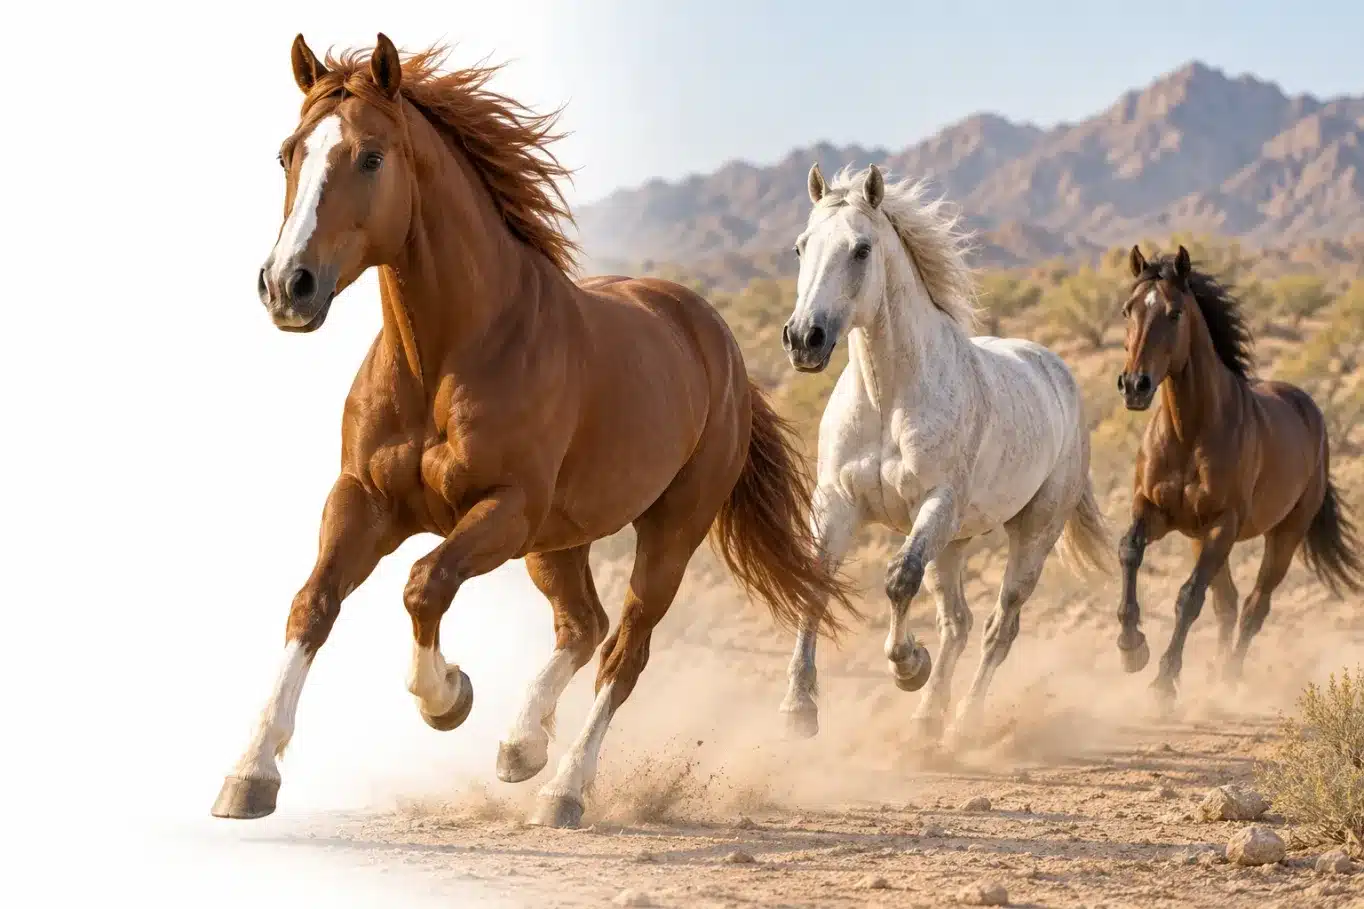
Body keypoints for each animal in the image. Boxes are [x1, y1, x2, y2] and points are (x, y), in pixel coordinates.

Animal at [211, 34, 856, 829]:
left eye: (370, 157)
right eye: (287, 154)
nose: (287, 286)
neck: (449, 356)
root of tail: (715, 338)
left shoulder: (504, 510)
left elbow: (424, 585)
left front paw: (447, 696)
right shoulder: (362, 499)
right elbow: (313, 603)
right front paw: (250, 773)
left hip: (667, 532)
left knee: (622, 650)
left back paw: (563, 787)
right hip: (561, 538)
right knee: (582, 623)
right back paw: (522, 745)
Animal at [777, 163, 1114, 747]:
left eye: (861, 249)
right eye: (801, 246)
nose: (804, 339)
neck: (888, 397)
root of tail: (1058, 373)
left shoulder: (935, 504)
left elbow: (898, 580)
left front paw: (908, 666)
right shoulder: (837, 502)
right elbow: (814, 584)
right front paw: (800, 709)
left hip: (1030, 534)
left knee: (1000, 627)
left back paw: (961, 722)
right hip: (955, 542)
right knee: (958, 622)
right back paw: (927, 720)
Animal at [1113, 245, 1364, 705]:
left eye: (1174, 313)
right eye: (1128, 309)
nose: (1134, 385)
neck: (1189, 432)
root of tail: (1309, 410)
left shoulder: (1223, 524)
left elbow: (1189, 597)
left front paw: (1164, 682)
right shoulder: (1155, 511)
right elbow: (1129, 552)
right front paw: (1131, 646)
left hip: (1282, 536)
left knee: (1253, 607)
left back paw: (1228, 680)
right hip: (1202, 538)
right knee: (1228, 604)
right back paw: (1214, 674)